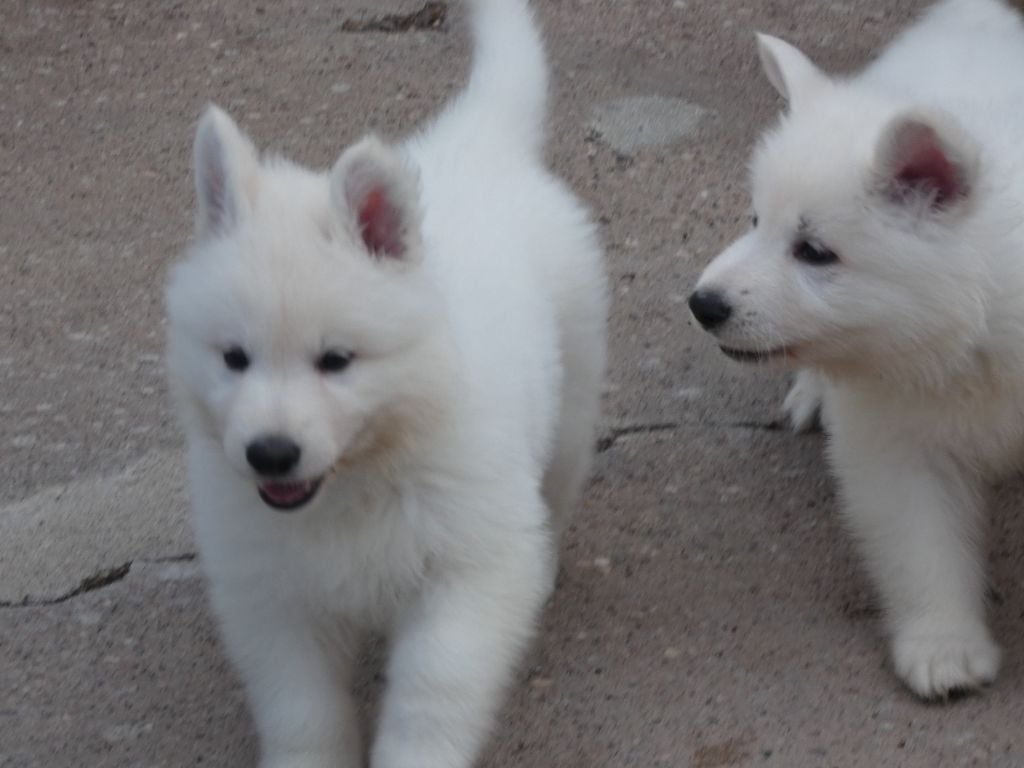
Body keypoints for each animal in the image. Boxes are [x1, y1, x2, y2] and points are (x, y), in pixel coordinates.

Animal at [163, 3, 602, 765]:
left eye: (336, 360)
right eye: (234, 358)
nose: (270, 454)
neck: (356, 480)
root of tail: (470, 145)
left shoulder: (465, 572)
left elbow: (431, 693)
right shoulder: (272, 597)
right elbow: (301, 709)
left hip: (572, 404)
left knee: (555, 487)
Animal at [688, 0, 1024, 700]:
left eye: (815, 251)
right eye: (754, 220)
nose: (703, 304)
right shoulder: (893, 437)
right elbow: (920, 542)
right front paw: (944, 646)